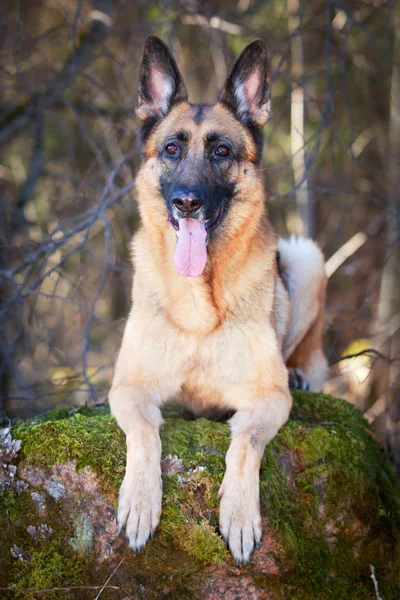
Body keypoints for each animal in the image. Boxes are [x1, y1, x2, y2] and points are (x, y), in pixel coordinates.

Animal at [109, 36, 328, 564]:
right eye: (171, 149)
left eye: (222, 151)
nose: (188, 202)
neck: (200, 305)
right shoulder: (128, 389)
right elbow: (144, 434)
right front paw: (140, 502)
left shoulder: (268, 399)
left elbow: (244, 442)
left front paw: (240, 515)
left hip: (306, 256)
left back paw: (300, 372)